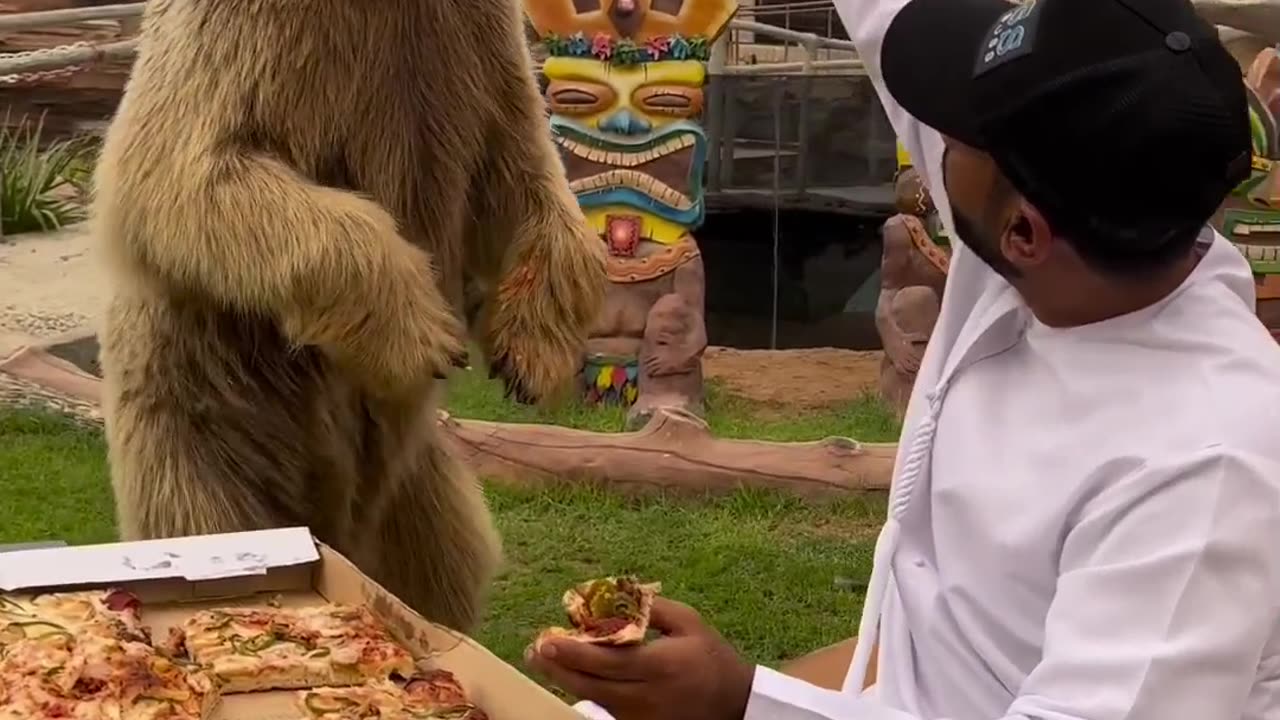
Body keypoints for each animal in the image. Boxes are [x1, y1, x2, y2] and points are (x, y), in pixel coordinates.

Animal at [91, 0, 609, 627]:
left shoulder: (476, 50)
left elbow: (522, 168)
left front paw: (531, 355)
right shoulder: (243, 42)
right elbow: (183, 169)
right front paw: (424, 336)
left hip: (415, 484)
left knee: (443, 557)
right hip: (202, 436)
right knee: (211, 516)